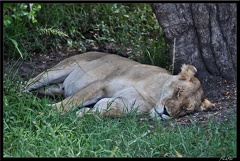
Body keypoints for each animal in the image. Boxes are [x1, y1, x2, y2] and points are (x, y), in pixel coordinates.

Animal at [23, 51, 214, 119]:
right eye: (177, 91)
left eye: (185, 109)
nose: (166, 113)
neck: (153, 95)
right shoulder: (101, 84)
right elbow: (71, 102)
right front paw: (45, 112)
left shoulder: (123, 104)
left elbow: (101, 110)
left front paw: (82, 114)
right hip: (57, 70)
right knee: (27, 83)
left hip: (55, 85)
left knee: (53, 90)